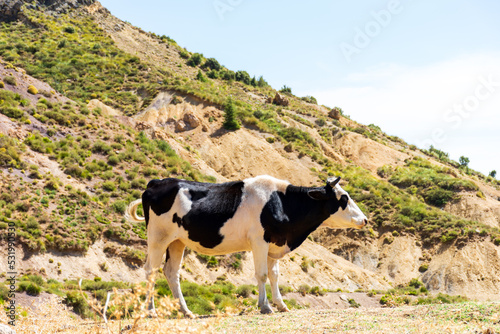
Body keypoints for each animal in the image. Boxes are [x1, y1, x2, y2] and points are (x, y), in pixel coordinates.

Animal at [125, 174, 368, 318]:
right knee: (151, 270)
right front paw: (265, 306)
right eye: (344, 198)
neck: (281, 203)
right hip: (158, 237)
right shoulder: (259, 240)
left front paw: (281, 305)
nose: (365, 219)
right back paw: (151, 312)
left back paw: (186, 312)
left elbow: (274, 275)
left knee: (171, 272)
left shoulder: (274, 244)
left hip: (177, 241)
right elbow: (261, 274)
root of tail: (157, 182)